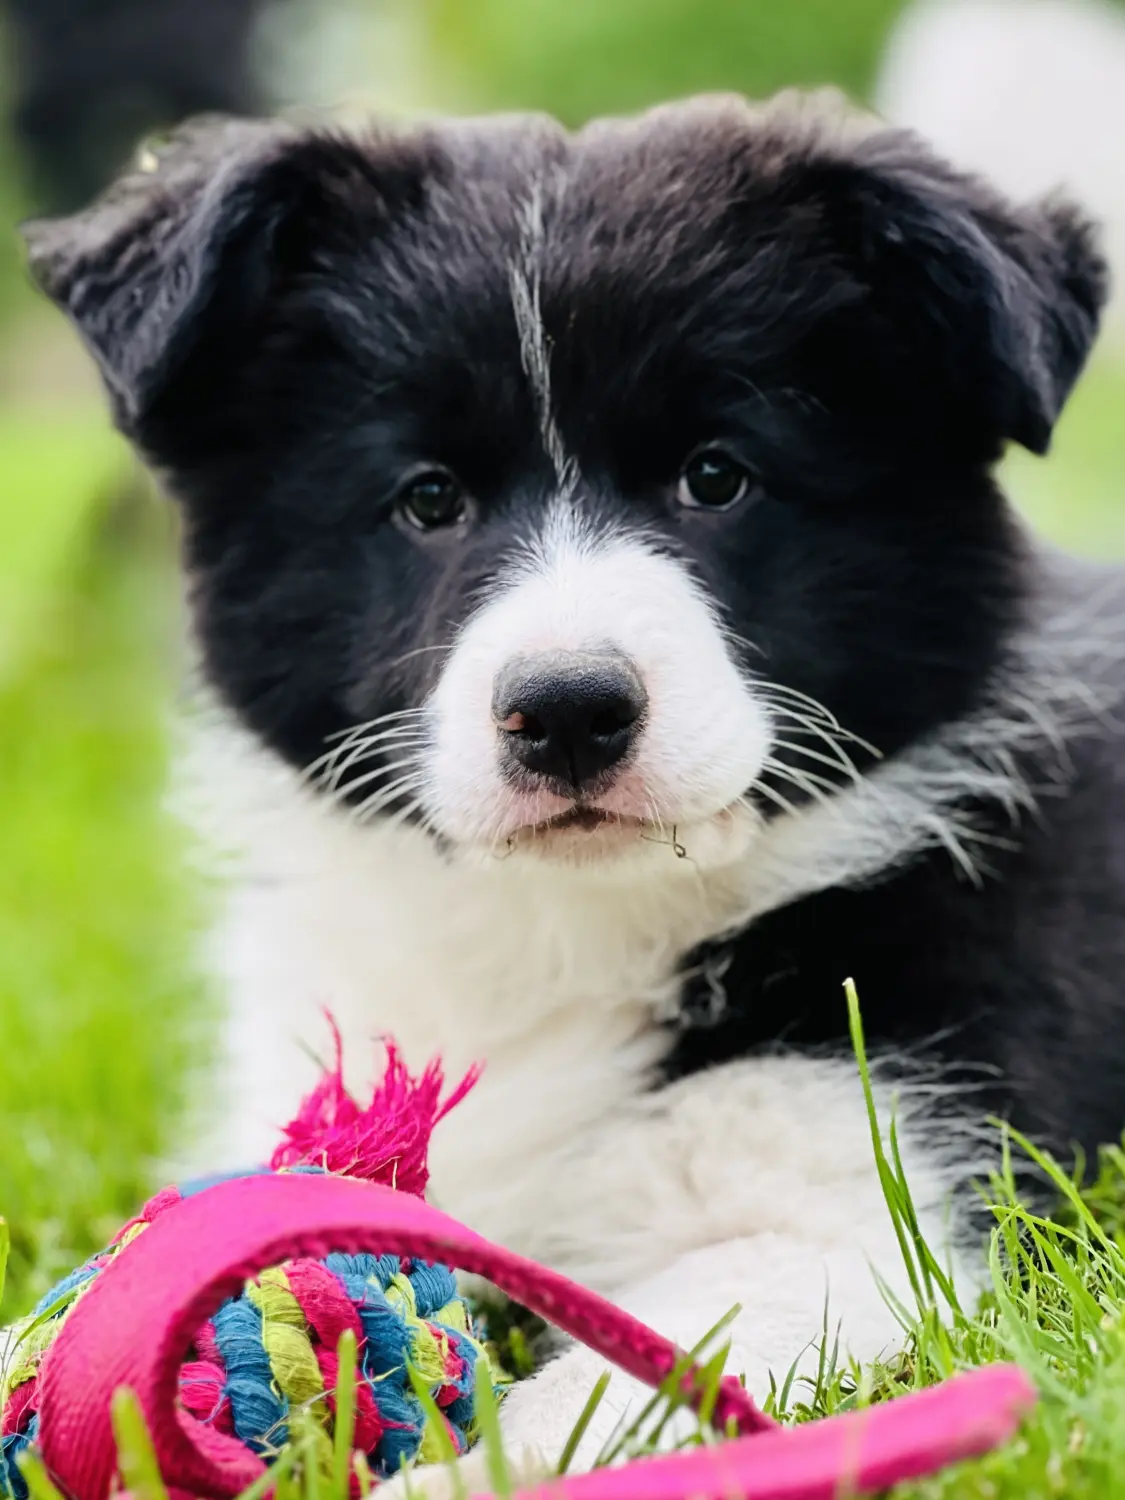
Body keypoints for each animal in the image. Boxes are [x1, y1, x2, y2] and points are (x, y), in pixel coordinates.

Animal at [24, 93, 1125, 1476]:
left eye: (716, 475)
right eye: (427, 497)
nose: (567, 711)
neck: (565, 925)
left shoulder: (871, 1214)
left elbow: (599, 1395)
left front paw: (437, 1485)